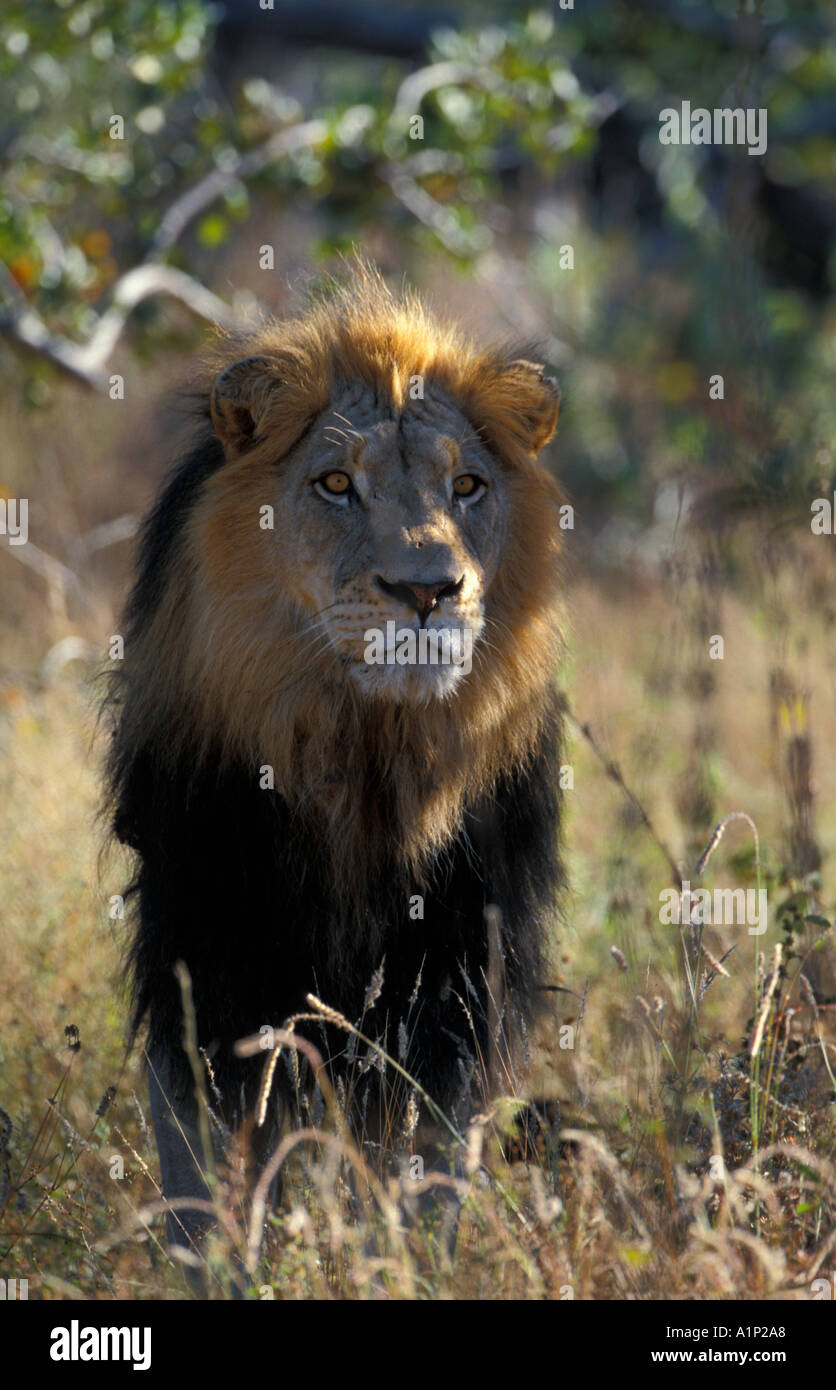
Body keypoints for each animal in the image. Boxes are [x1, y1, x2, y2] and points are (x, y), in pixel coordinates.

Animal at [105, 262, 564, 1273]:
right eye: (335, 484)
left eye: (467, 486)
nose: (429, 589)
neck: (367, 754)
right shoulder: (211, 937)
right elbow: (209, 1147)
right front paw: (221, 1267)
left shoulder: (459, 954)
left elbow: (429, 1155)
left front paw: (408, 1266)